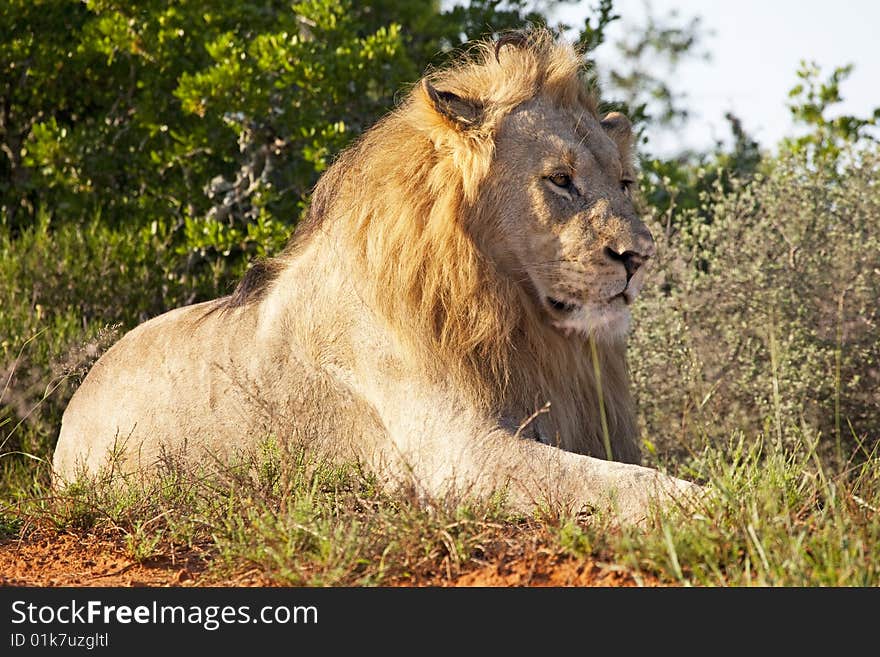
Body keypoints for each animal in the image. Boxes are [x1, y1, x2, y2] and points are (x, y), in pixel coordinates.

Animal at [53, 29, 700, 524]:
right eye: (560, 180)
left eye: (624, 184)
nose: (640, 256)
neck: (516, 318)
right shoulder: (458, 455)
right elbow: (621, 483)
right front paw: (706, 505)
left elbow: (625, 472)